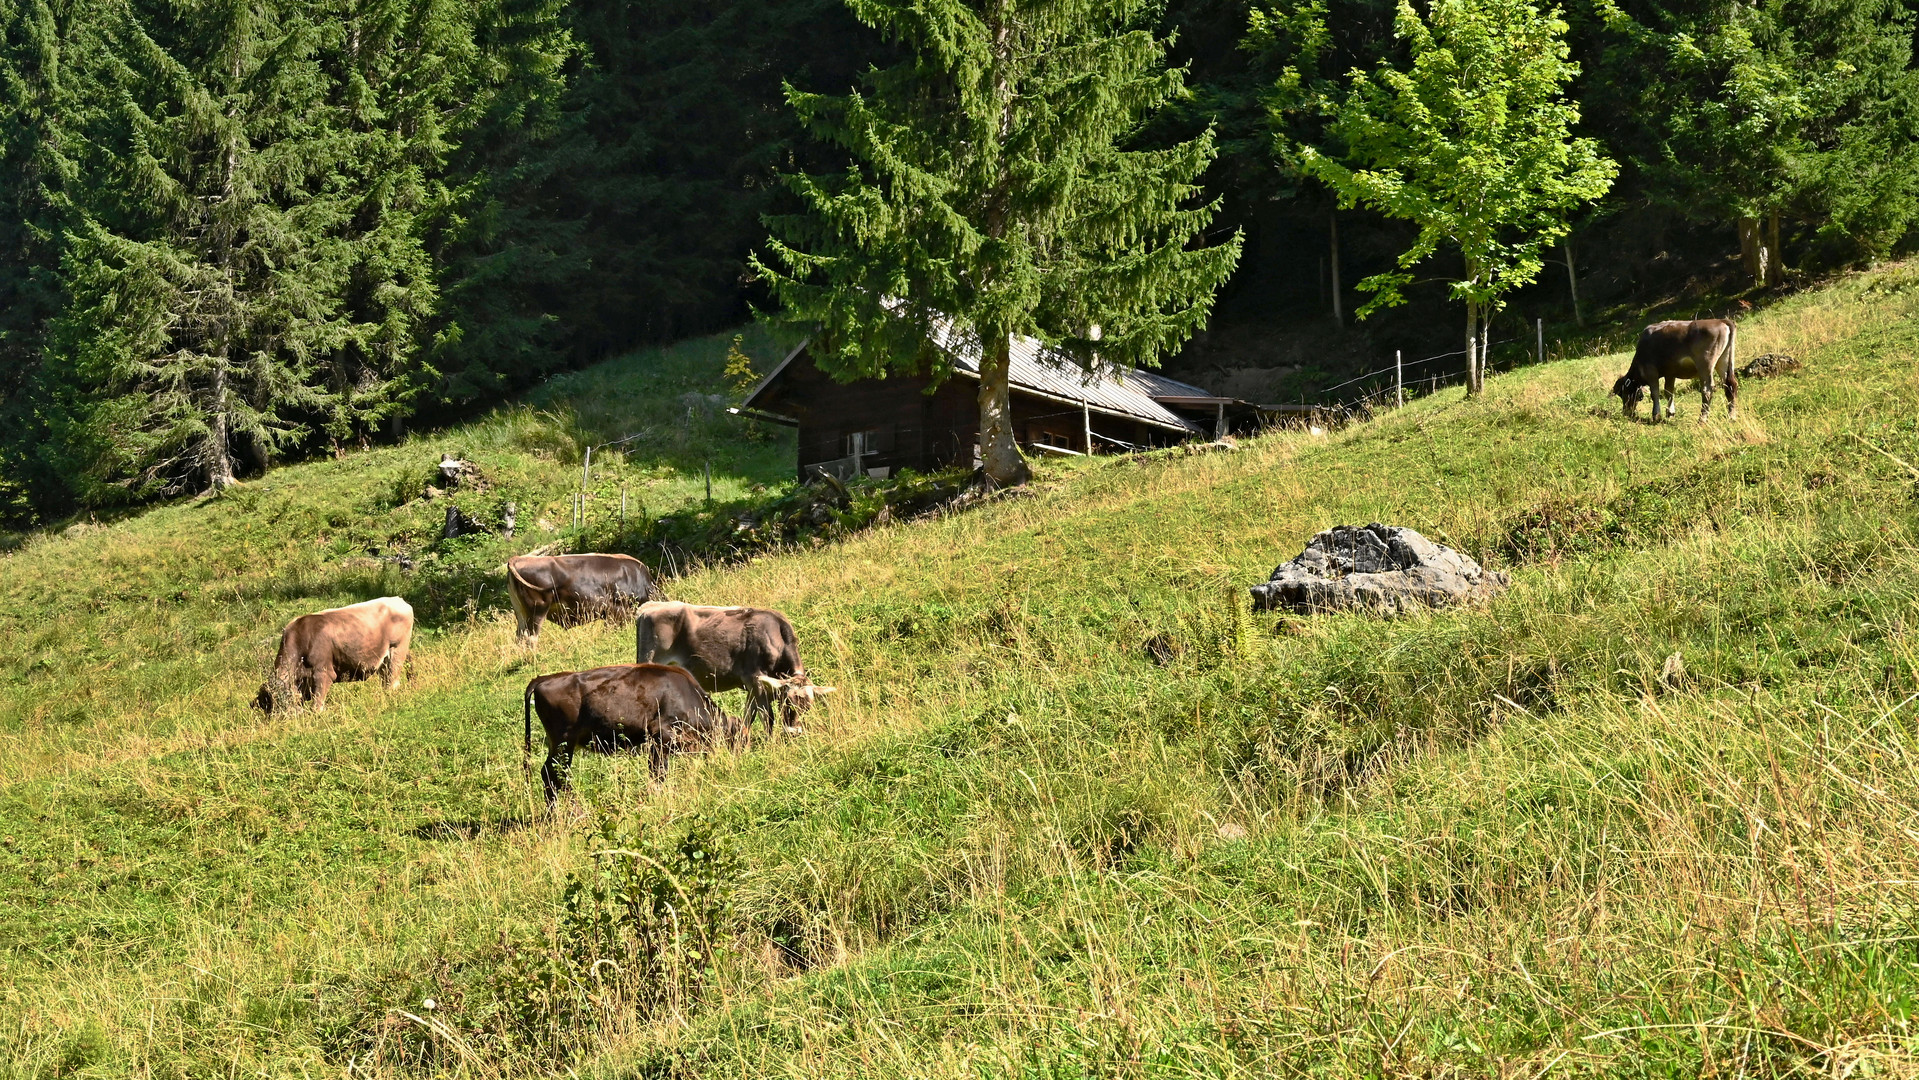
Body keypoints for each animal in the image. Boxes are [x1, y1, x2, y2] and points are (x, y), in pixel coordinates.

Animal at [253, 594, 410, 713]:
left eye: (282, 701)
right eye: (267, 705)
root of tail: (398, 600)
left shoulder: (323, 672)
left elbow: (317, 706)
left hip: (397, 651)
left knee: (393, 681)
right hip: (383, 660)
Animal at [506, 552, 656, 648]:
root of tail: (518, 558)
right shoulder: (617, 610)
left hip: (521, 612)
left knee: (520, 637)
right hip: (538, 609)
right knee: (531, 637)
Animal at [525, 663, 748, 805]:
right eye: (740, 740)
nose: (737, 766)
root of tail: (543, 679)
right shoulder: (661, 737)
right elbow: (659, 774)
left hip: (560, 745)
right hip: (564, 743)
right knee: (554, 775)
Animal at [633, 606, 836, 740]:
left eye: (808, 706)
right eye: (787, 702)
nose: (794, 733)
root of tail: (649, 607)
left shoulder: (753, 688)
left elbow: (748, 717)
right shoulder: (756, 681)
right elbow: (767, 718)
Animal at [1604, 316, 1742, 422]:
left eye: (1623, 393)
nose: (1626, 412)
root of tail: (1721, 320)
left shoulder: (1651, 371)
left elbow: (1655, 393)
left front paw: (1656, 416)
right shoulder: (1670, 373)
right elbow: (1668, 391)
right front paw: (1670, 413)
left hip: (1705, 364)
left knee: (1707, 389)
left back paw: (1702, 419)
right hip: (1723, 362)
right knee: (1730, 385)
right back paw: (1732, 416)